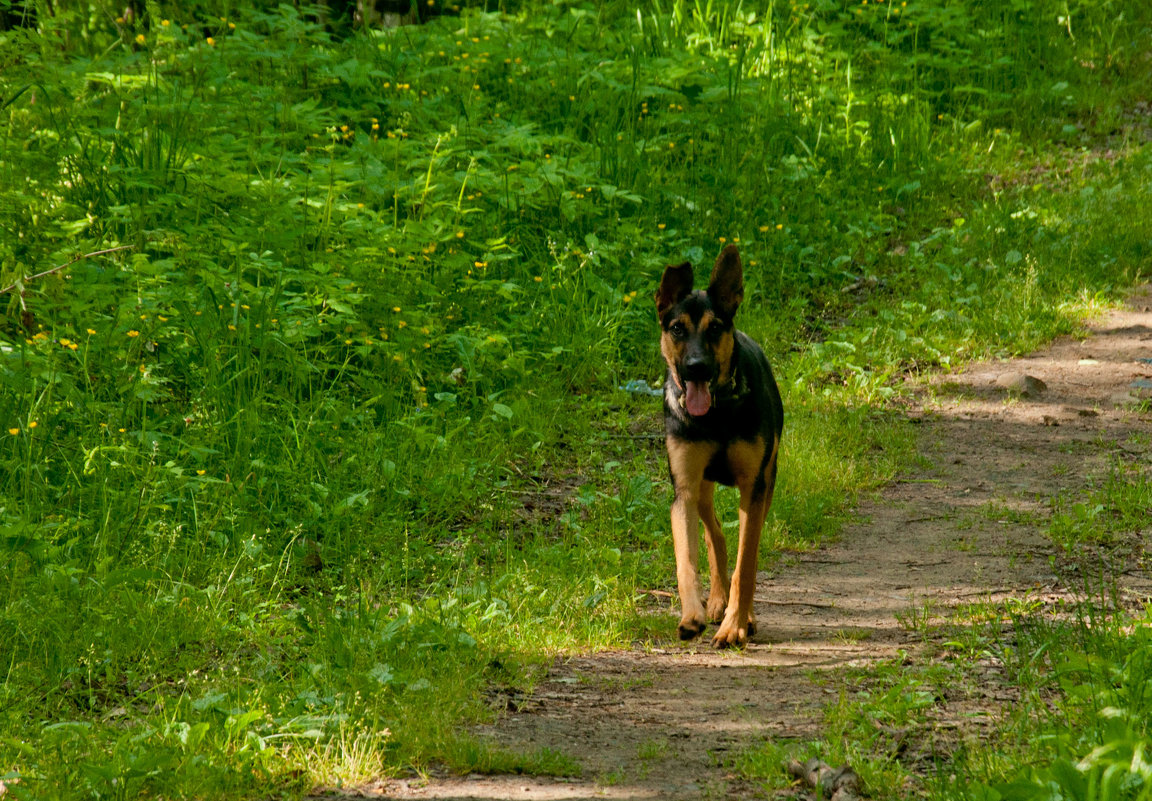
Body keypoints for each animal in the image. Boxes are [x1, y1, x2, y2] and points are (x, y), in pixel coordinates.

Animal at [658, 245, 783, 650]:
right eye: (677, 328)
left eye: (715, 328)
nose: (696, 367)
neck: (716, 414)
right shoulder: (684, 489)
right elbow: (686, 560)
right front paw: (692, 615)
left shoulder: (754, 488)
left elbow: (747, 565)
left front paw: (735, 626)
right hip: (701, 489)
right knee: (716, 536)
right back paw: (715, 600)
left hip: (767, 481)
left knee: (744, 549)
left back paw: (743, 613)